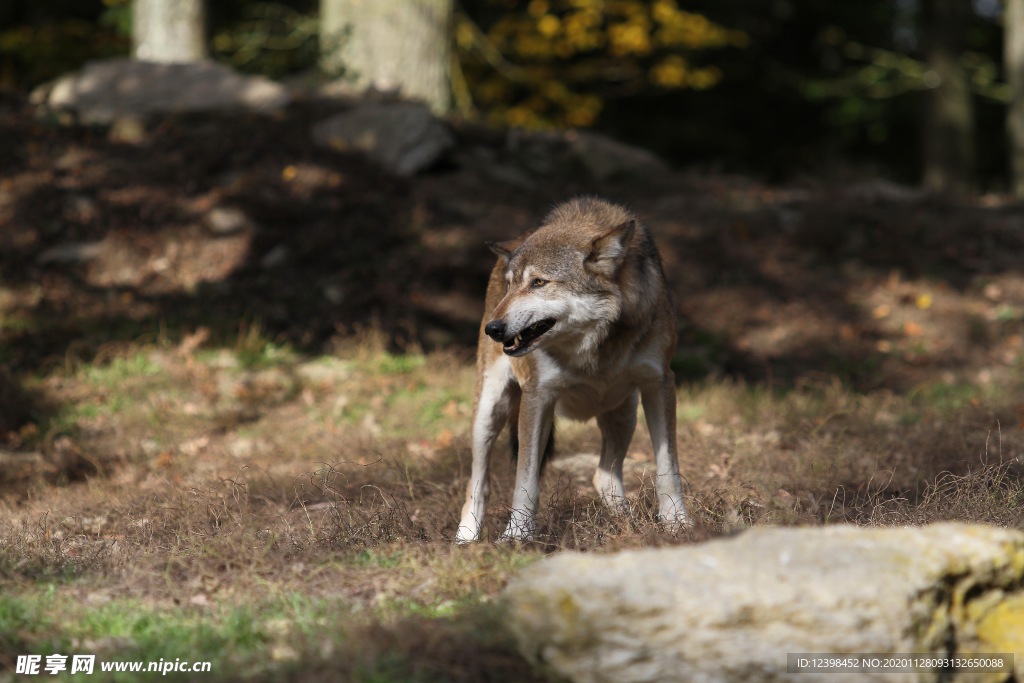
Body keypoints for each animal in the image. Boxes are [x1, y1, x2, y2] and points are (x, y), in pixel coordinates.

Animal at [454, 194, 688, 540]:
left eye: (539, 282)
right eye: (510, 285)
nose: (492, 330)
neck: (591, 347)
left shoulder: (660, 384)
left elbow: (668, 469)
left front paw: (679, 525)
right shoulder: (538, 396)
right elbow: (525, 483)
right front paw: (516, 537)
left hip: (624, 412)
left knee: (603, 477)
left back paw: (626, 525)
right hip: (490, 411)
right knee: (477, 483)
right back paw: (466, 540)